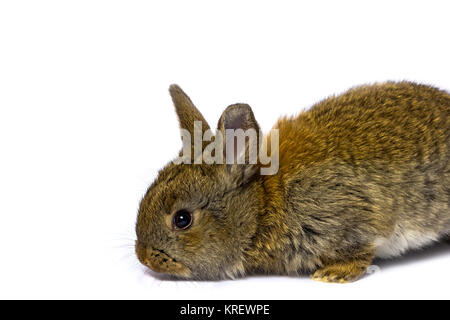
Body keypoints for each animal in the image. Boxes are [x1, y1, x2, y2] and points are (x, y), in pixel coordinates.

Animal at [134, 82, 450, 282]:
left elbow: (361, 251)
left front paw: (334, 275)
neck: (261, 209)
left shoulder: (350, 218)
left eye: (182, 219)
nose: (143, 257)